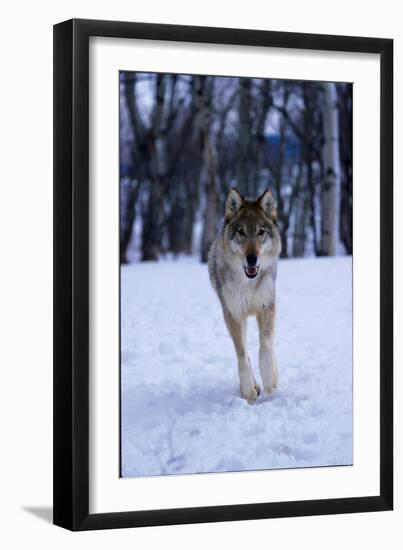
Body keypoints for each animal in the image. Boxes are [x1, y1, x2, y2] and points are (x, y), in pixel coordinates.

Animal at [208, 190, 280, 406]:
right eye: (241, 232)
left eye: (260, 232)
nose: (251, 258)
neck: (249, 284)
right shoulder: (233, 315)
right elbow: (242, 354)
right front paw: (248, 389)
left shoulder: (266, 306)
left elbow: (265, 345)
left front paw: (270, 378)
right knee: (245, 351)